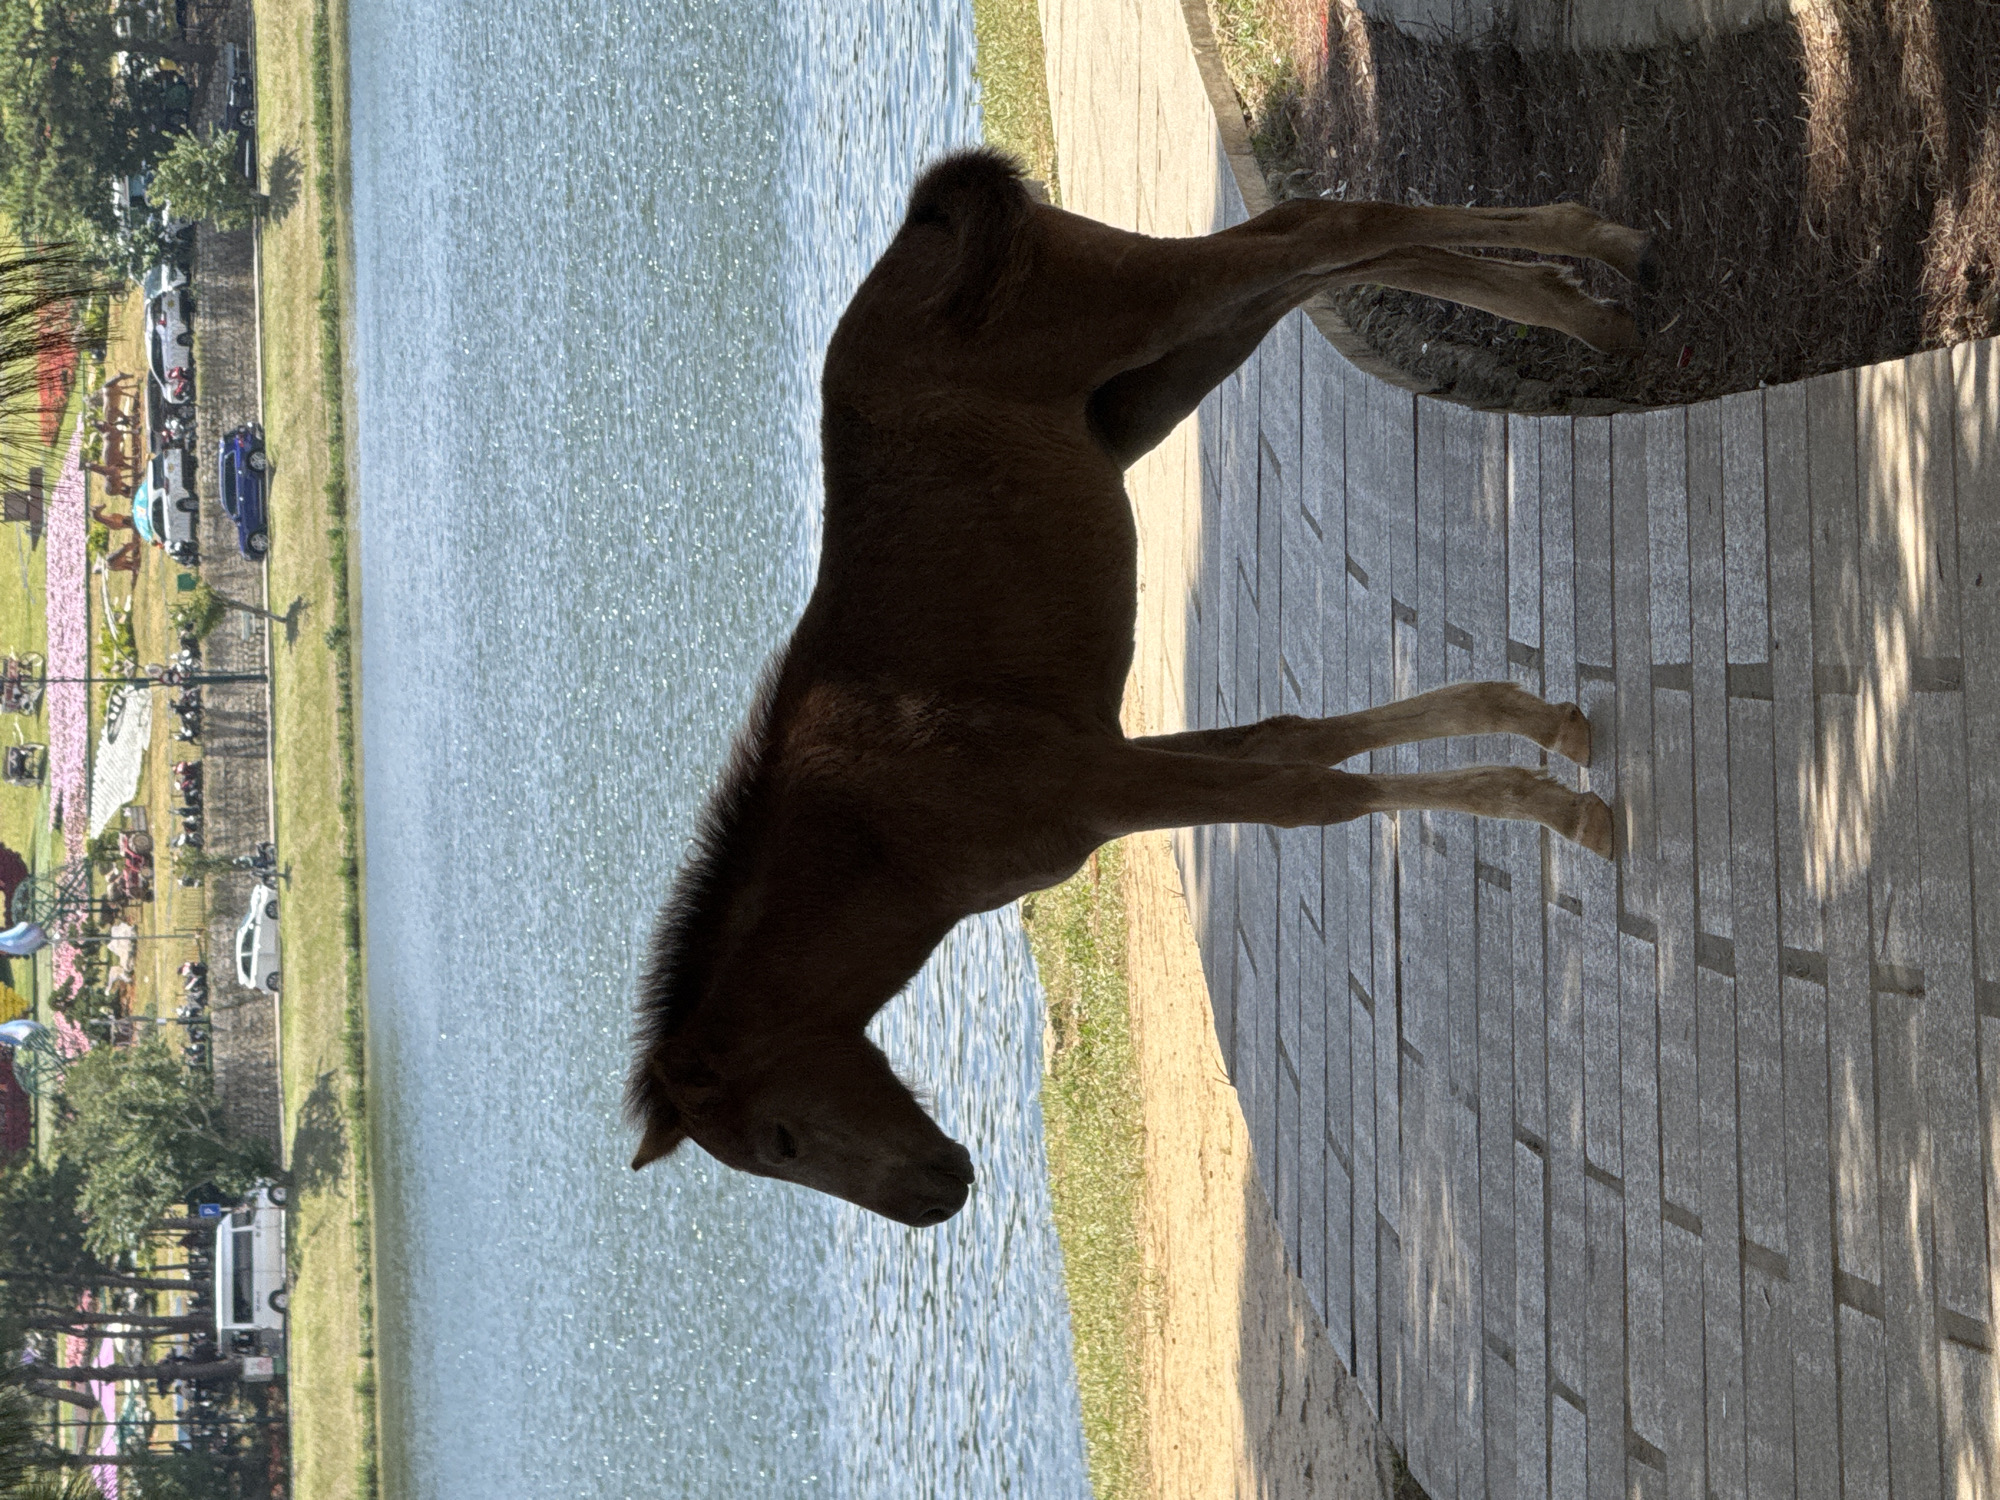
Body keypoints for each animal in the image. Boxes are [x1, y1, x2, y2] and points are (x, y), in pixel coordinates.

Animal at [628, 149, 1651, 1226]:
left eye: (775, 1143)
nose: (936, 1197)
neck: (885, 824)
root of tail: (926, 221)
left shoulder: (1096, 788)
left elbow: (1310, 797)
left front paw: (1560, 809)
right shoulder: (1109, 753)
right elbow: (1297, 738)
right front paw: (1547, 729)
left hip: (1145, 312)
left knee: (1318, 230)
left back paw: (1601, 260)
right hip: (1164, 374)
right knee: (1316, 258)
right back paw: (1588, 303)